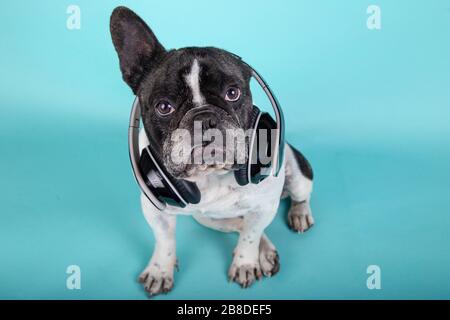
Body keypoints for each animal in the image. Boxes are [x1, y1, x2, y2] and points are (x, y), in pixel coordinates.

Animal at [110, 6, 312, 296]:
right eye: (164, 107)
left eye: (233, 93)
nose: (204, 118)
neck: (209, 176)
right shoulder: (155, 210)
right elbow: (164, 240)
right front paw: (160, 269)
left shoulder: (264, 205)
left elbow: (250, 237)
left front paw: (245, 263)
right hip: (209, 219)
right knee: (239, 225)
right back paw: (266, 250)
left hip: (296, 174)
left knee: (297, 197)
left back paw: (299, 215)